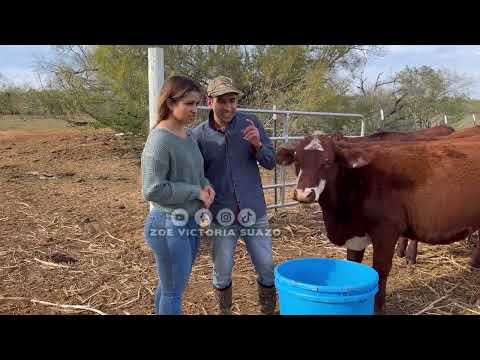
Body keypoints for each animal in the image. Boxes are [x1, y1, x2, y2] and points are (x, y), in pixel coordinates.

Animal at [276, 134, 480, 312]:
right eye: (297, 161)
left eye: (327, 162)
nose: (303, 194)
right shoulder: (355, 234)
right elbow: (354, 262)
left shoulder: (387, 230)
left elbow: (380, 269)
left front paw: (377, 307)